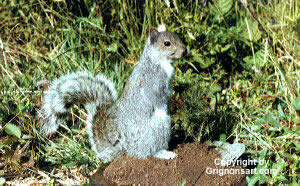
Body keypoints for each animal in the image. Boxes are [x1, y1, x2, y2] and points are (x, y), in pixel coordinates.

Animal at [38, 24, 185, 162]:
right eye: (167, 43)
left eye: (177, 36)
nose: (184, 50)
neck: (157, 62)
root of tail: (127, 149)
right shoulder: (152, 82)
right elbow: (157, 97)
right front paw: (167, 101)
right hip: (159, 127)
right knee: (148, 152)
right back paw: (163, 153)